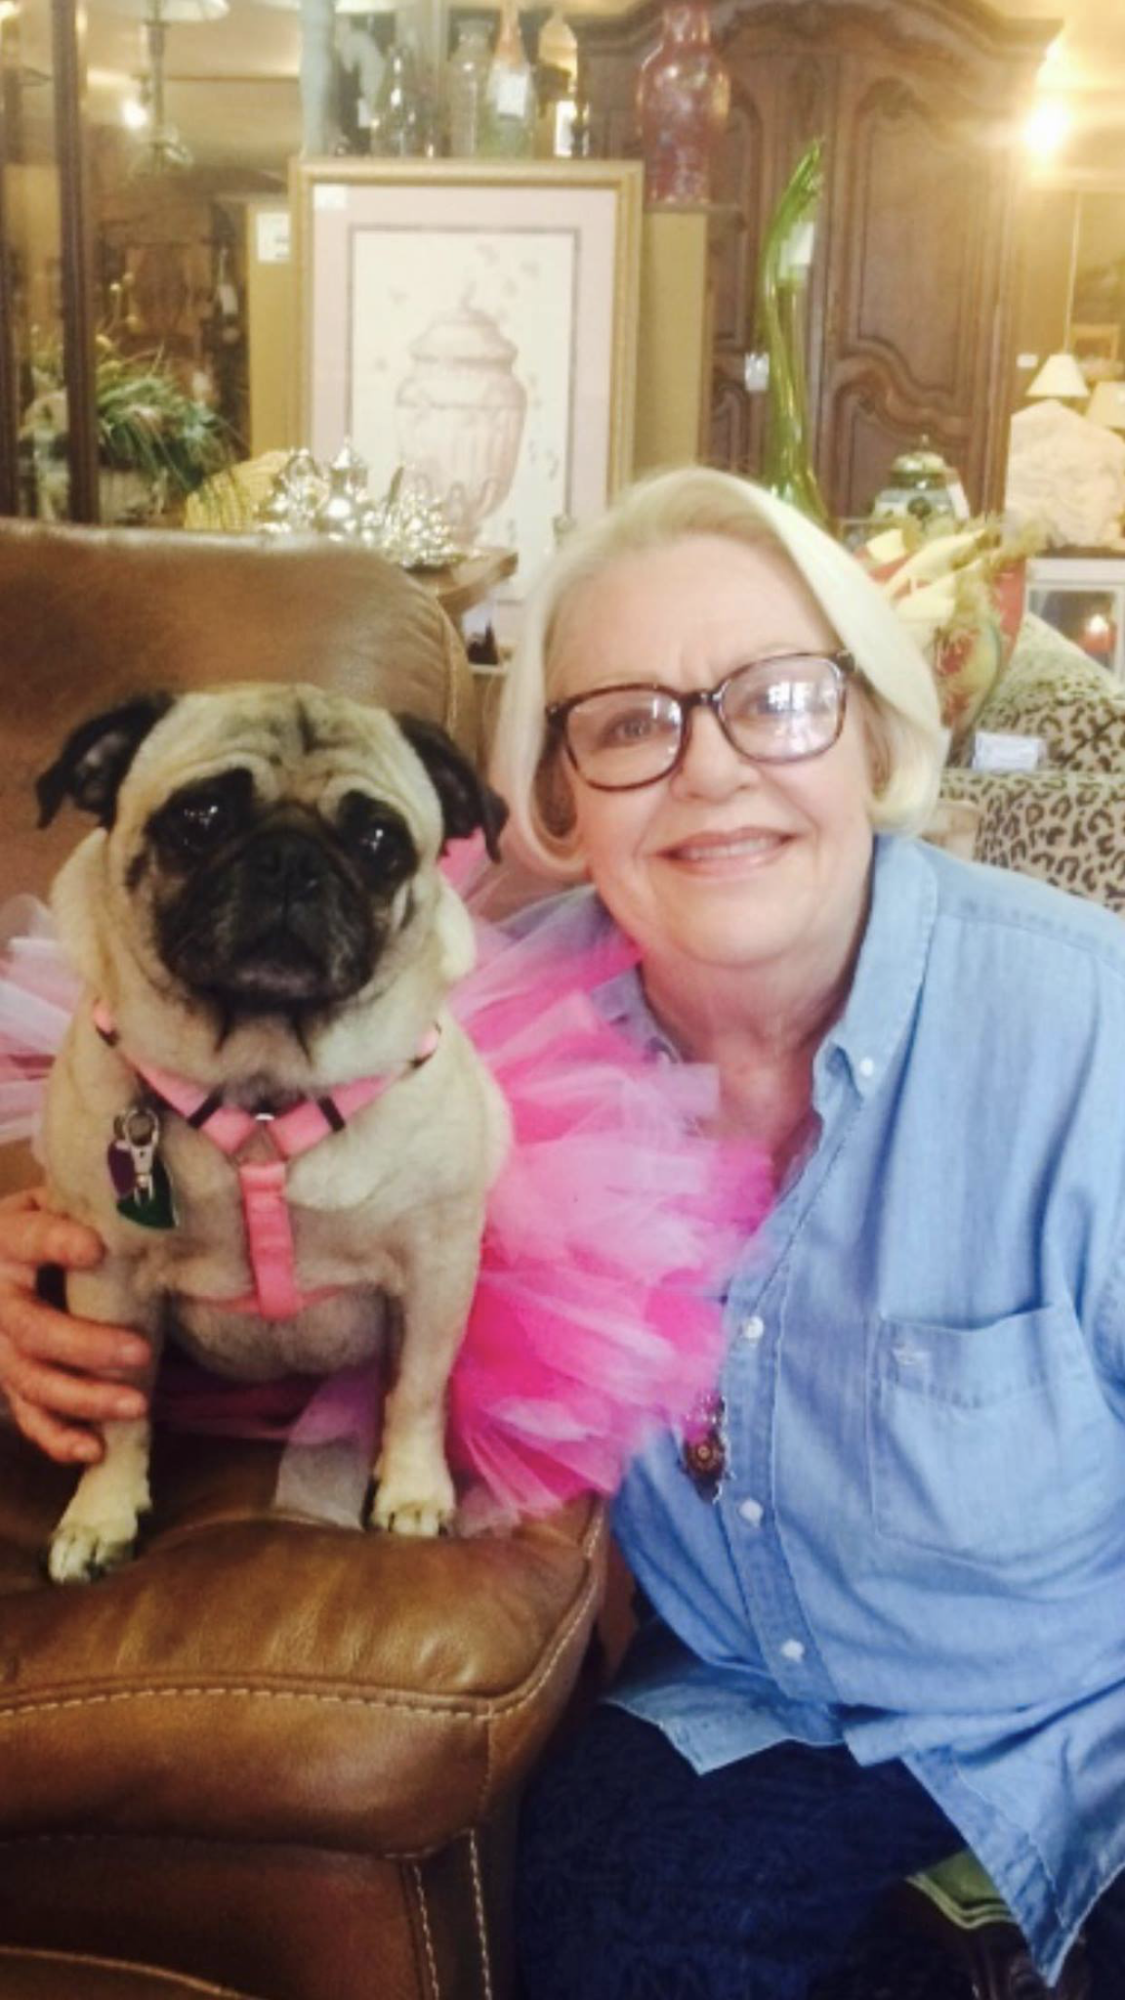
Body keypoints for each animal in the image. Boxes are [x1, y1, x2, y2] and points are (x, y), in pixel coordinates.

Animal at [34, 682, 511, 1583]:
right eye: (201, 816)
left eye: (378, 841)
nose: (291, 859)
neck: (261, 1088)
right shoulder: (108, 1283)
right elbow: (117, 1415)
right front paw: (101, 1514)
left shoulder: (435, 1268)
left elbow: (417, 1390)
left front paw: (413, 1492)